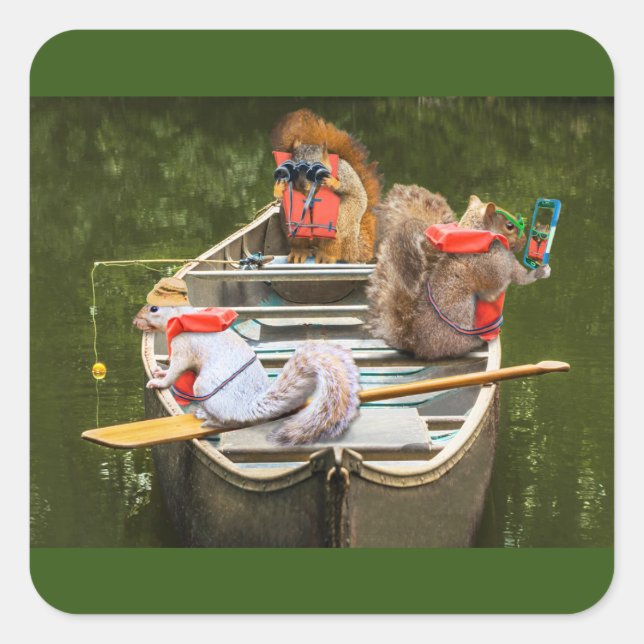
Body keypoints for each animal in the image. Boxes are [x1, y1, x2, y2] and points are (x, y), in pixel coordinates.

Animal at [133, 302, 361, 445]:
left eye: (154, 308)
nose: (135, 321)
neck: (182, 317)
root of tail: (248, 408)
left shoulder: (184, 347)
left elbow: (176, 370)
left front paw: (159, 382)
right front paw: (158, 372)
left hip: (202, 386)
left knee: (229, 421)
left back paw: (209, 420)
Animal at [271, 108, 382, 264]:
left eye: (316, 170)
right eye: (293, 169)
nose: (302, 185)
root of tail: (354, 249)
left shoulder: (343, 173)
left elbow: (347, 186)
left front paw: (331, 182)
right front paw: (279, 187)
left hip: (340, 221)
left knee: (333, 248)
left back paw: (326, 255)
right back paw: (299, 252)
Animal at [366, 185, 551, 360]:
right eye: (510, 226)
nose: (524, 241)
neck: (478, 235)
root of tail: (415, 345)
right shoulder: (495, 264)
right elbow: (507, 283)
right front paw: (540, 271)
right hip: (461, 314)